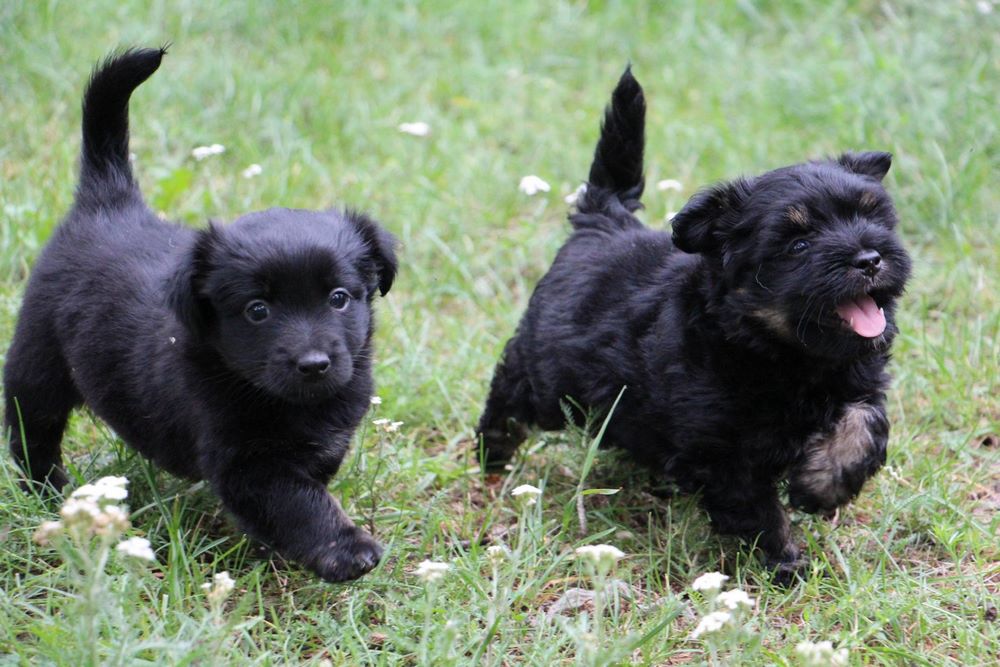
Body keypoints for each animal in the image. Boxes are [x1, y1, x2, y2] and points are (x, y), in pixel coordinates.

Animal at [4, 48, 398, 582]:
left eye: (339, 298)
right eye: (257, 310)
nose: (314, 364)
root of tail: (107, 202)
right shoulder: (249, 466)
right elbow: (300, 503)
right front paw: (345, 548)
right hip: (37, 364)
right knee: (32, 431)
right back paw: (50, 492)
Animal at [476, 69, 911, 578]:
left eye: (871, 215)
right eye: (798, 244)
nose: (869, 258)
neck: (780, 351)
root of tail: (604, 219)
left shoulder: (858, 379)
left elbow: (866, 422)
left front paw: (822, 486)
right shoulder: (722, 449)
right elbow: (757, 509)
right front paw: (785, 563)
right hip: (548, 379)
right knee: (509, 391)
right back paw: (492, 454)